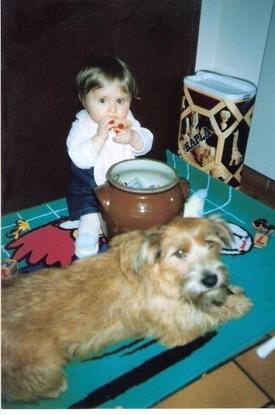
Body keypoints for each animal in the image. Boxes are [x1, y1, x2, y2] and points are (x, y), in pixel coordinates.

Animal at [1, 218, 252, 404]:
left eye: (210, 244)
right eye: (180, 253)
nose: (211, 279)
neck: (160, 273)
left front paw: (230, 292)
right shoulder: (181, 327)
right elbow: (211, 315)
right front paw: (239, 303)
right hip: (46, 365)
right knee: (18, 390)